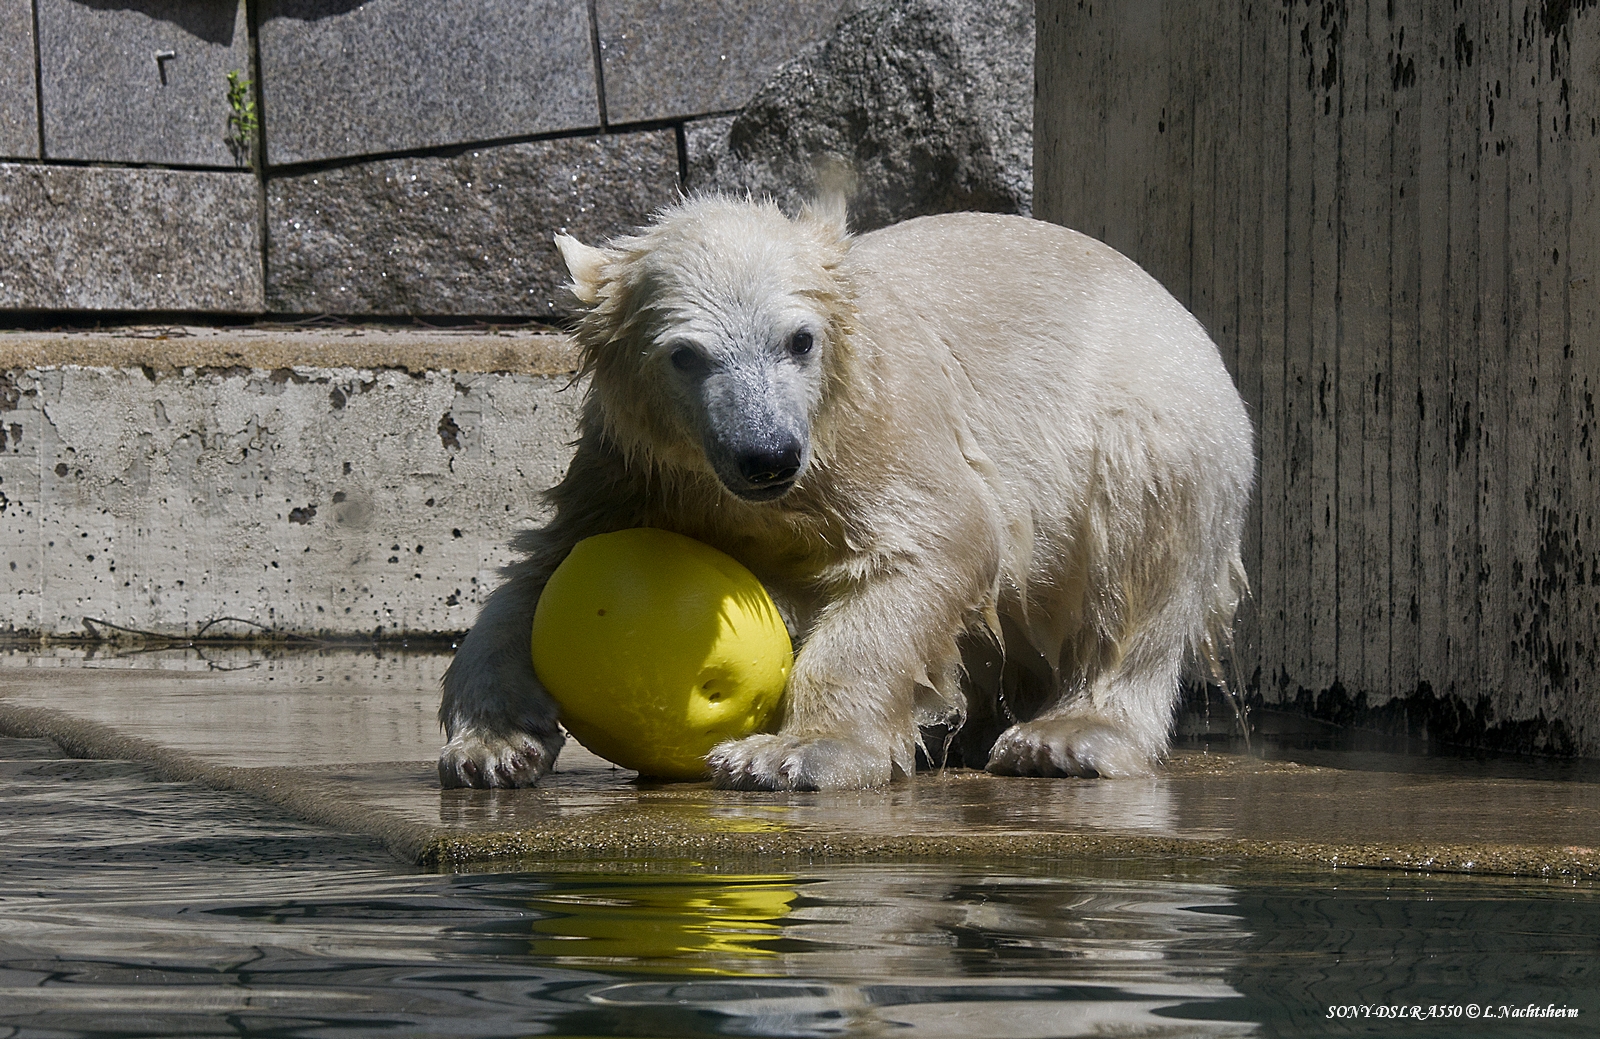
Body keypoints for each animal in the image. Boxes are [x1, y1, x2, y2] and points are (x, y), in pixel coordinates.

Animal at [435, 194, 1248, 790]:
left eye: (799, 340)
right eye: (684, 354)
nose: (767, 456)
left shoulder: (877, 427)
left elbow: (936, 541)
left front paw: (789, 753)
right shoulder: (631, 471)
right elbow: (539, 573)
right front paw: (493, 745)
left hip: (1151, 422)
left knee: (1134, 567)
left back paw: (1064, 736)